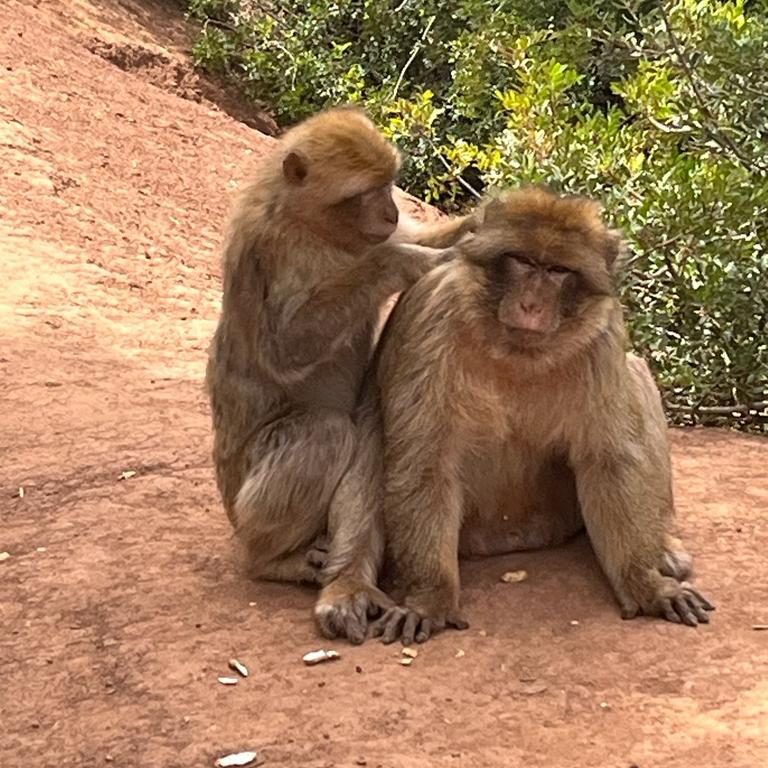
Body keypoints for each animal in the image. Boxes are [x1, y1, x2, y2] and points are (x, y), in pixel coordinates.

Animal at [205, 105, 474, 645]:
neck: (310, 222)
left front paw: (484, 219)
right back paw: (270, 560)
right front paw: (402, 260)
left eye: (389, 185)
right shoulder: (274, 248)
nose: (390, 212)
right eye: (363, 193)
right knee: (323, 433)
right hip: (243, 498)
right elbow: (284, 348)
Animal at [368, 186, 714, 645]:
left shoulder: (602, 334)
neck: (516, 350)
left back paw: (661, 547)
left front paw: (646, 583)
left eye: (557, 270)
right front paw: (429, 597)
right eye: (521, 260)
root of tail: (514, 539)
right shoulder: (433, 318)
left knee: (635, 372)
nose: (531, 304)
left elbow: (609, 461)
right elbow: (427, 464)